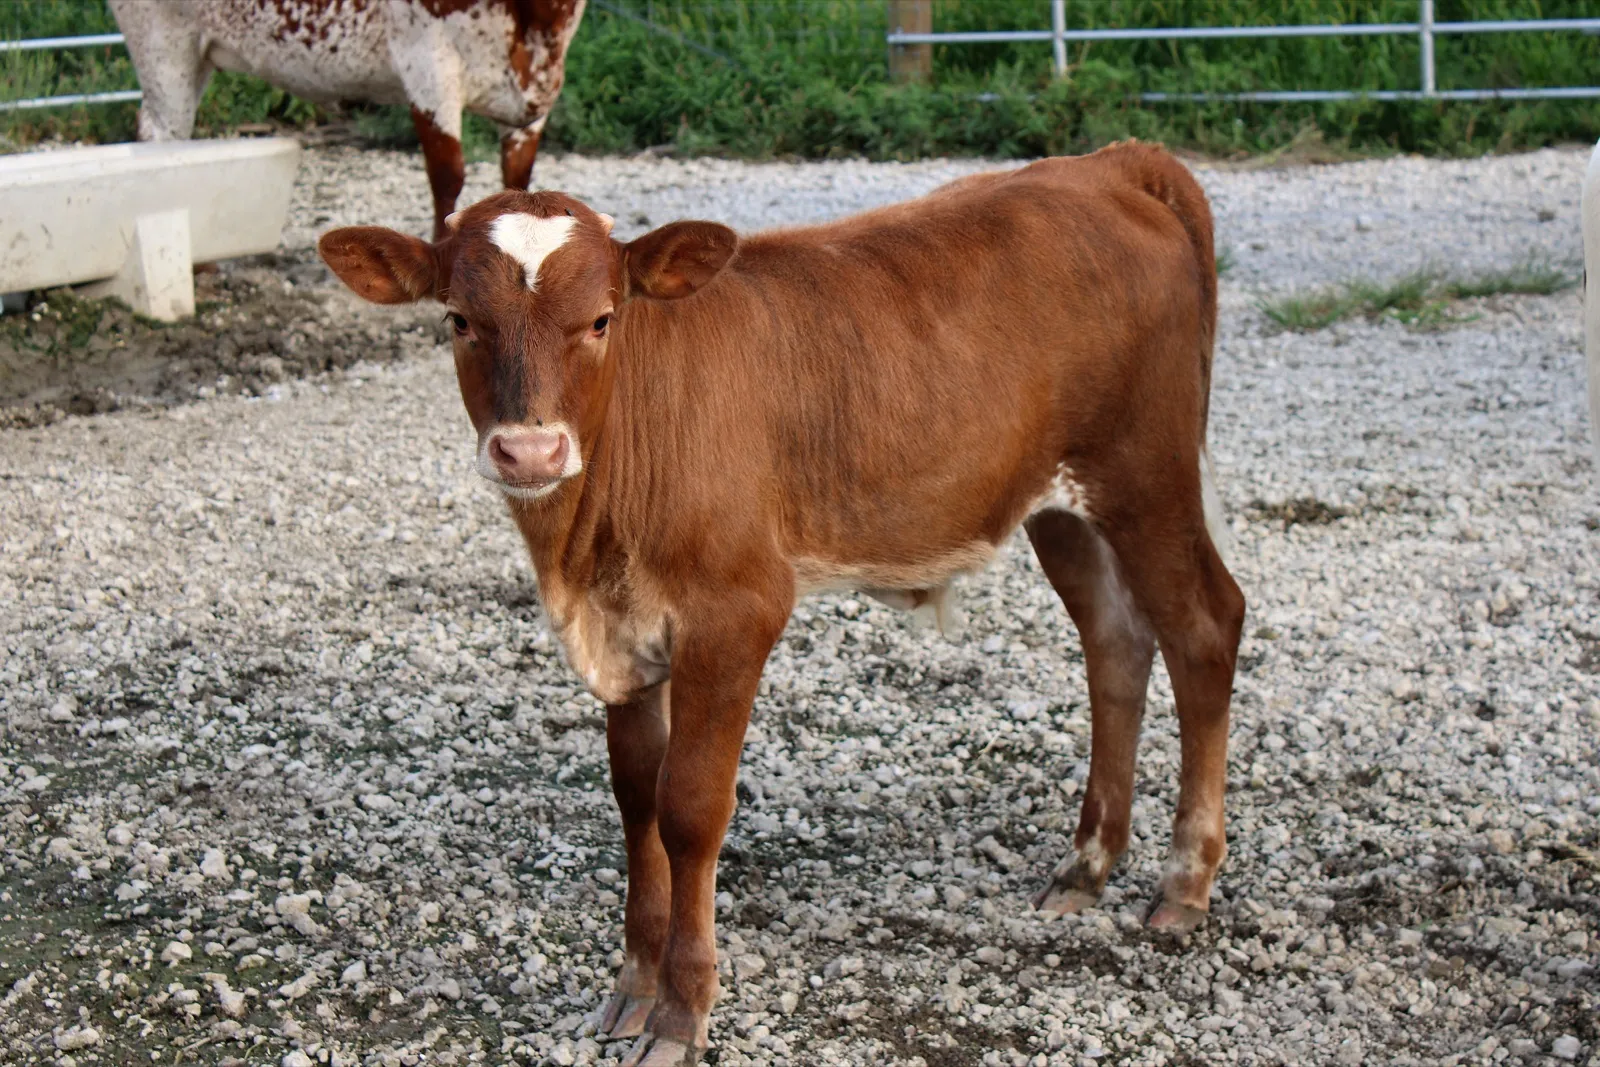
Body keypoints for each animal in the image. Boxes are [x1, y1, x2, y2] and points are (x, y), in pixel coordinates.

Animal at [108, 0, 586, 239]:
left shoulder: (534, 93)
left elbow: (519, 182)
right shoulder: (428, 65)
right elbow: (447, 175)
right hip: (162, 43)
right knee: (162, 135)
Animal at [316, 141, 1245, 1065]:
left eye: (602, 319)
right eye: (458, 320)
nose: (530, 449)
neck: (582, 552)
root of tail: (1107, 163)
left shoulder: (736, 611)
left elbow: (691, 806)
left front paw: (680, 1011)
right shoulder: (624, 632)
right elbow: (635, 794)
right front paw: (632, 986)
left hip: (1145, 472)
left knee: (1204, 625)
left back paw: (1184, 881)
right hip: (1061, 504)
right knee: (1115, 640)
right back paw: (1087, 863)